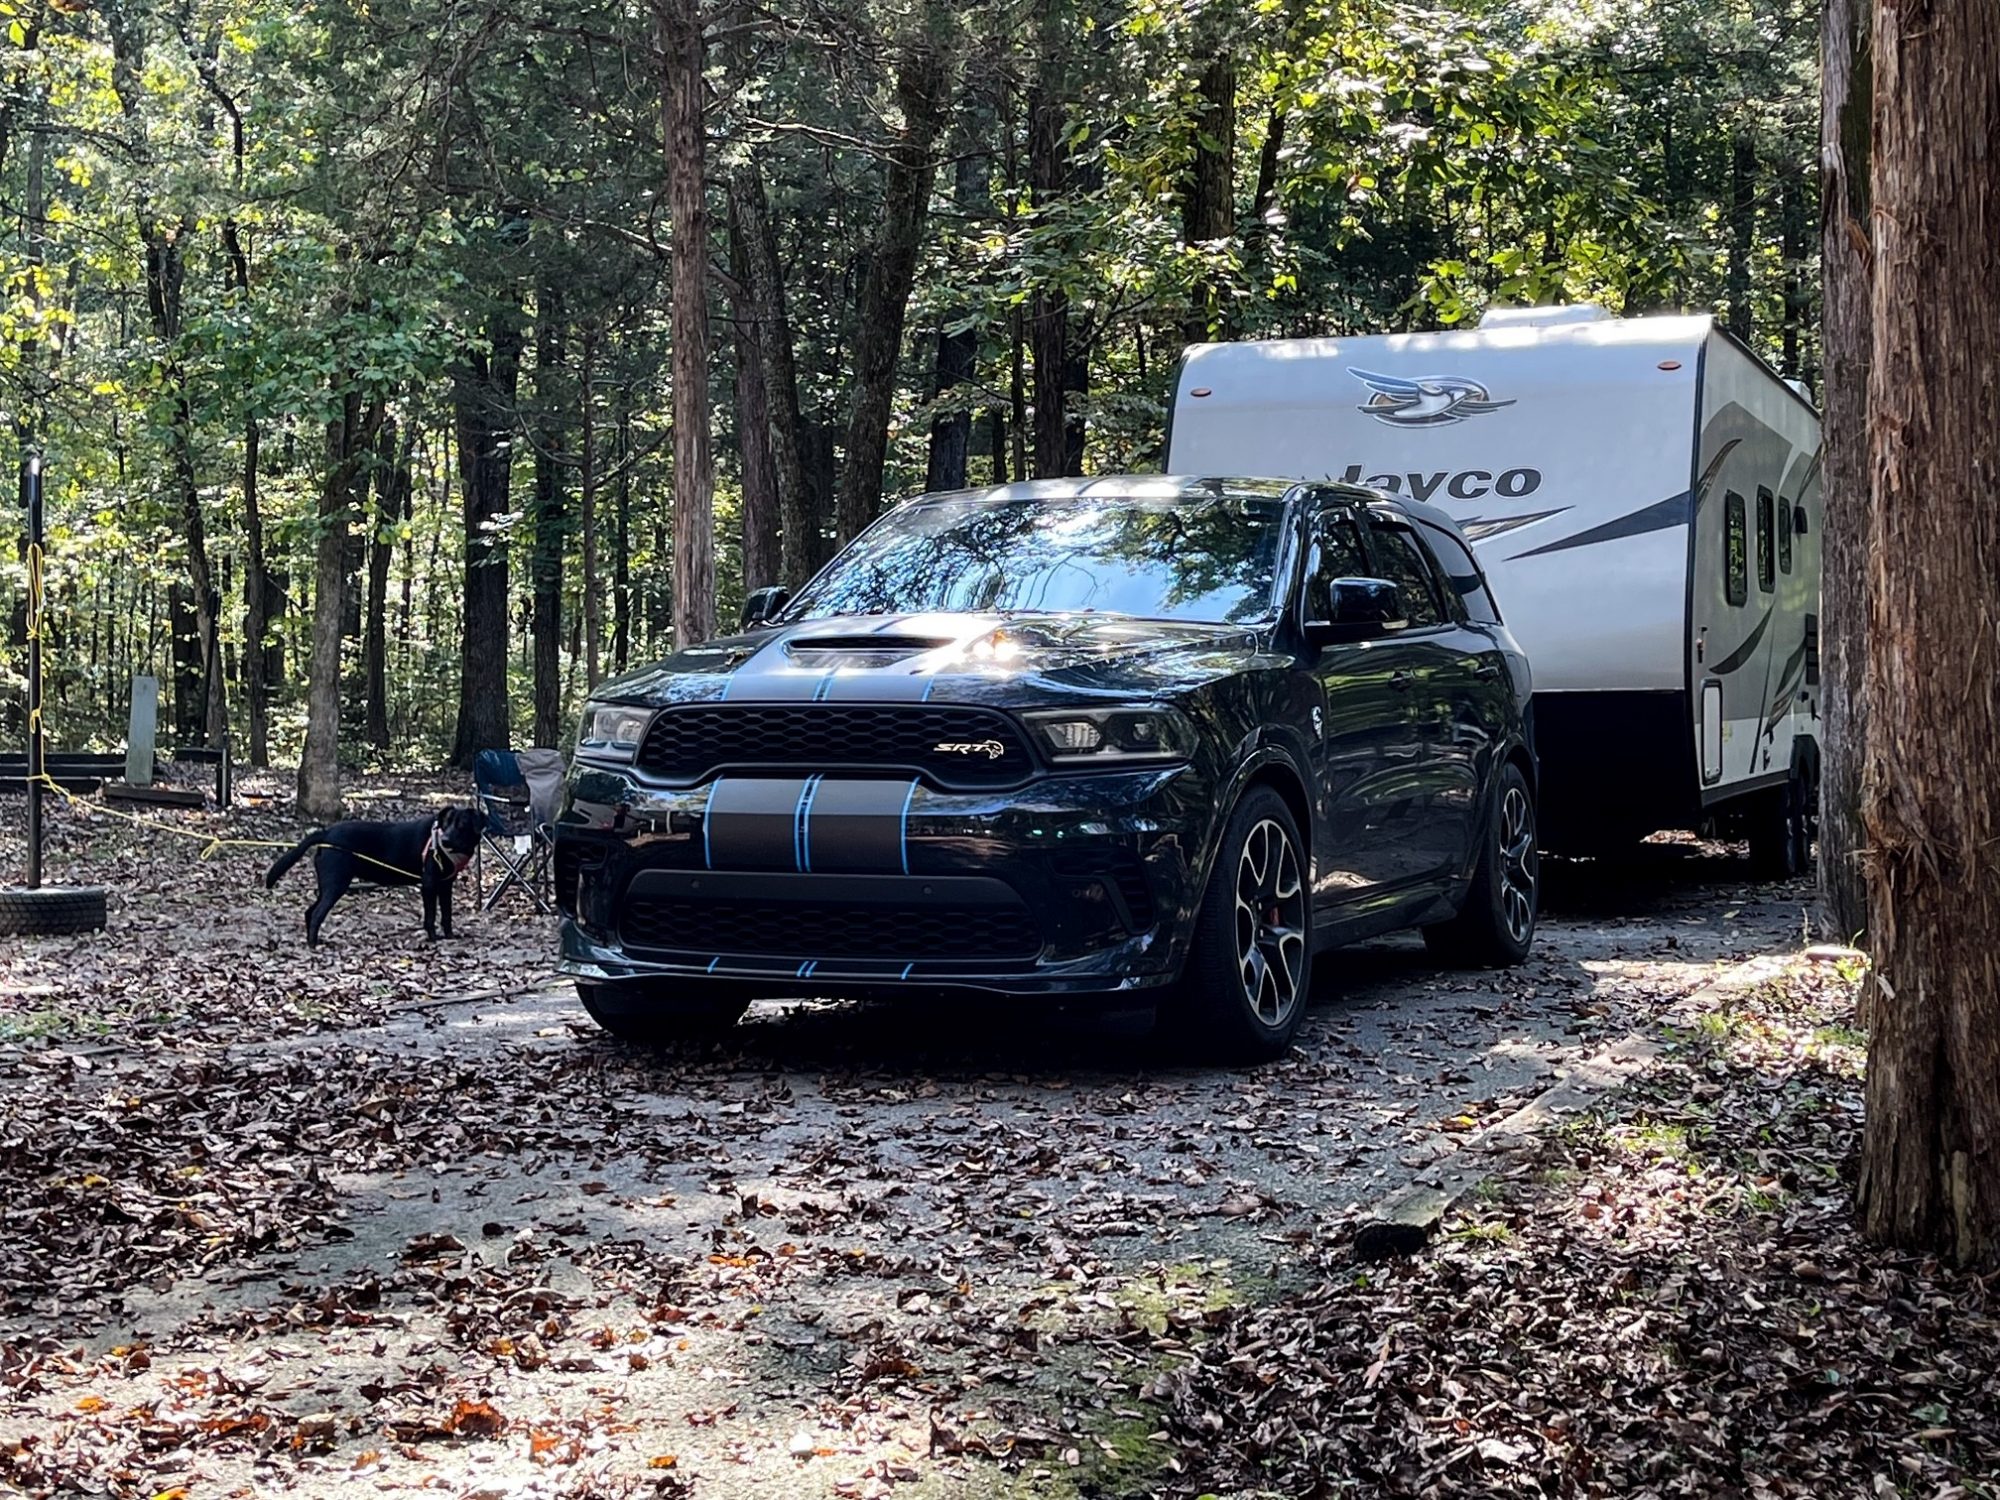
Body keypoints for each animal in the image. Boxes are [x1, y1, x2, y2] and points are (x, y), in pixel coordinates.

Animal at [266, 804, 484, 944]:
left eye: (461, 825)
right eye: (445, 824)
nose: (444, 840)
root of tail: (326, 833)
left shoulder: (446, 885)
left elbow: (447, 914)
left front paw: (450, 936)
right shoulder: (429, 885)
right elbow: (430, 917)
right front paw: (433, 939)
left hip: (327, 885)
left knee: (310, 912)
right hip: (336, 884)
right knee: (317, 913)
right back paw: (313, 945)